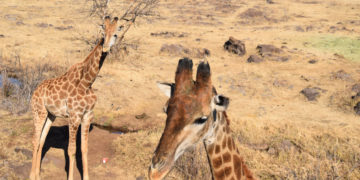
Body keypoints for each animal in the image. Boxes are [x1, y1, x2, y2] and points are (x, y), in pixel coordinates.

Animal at [28, 15, 123, 180]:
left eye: (116, 34)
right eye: (103, 32)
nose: (105, 48)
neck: (87, 83)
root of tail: (35, 91)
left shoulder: (88, 115)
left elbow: (84, 149)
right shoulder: (74, 116)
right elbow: (71, 150)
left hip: (50, 115)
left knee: (41, 140)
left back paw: (38, 175)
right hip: (38, 111)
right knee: (35, 140)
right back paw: (32, 175)